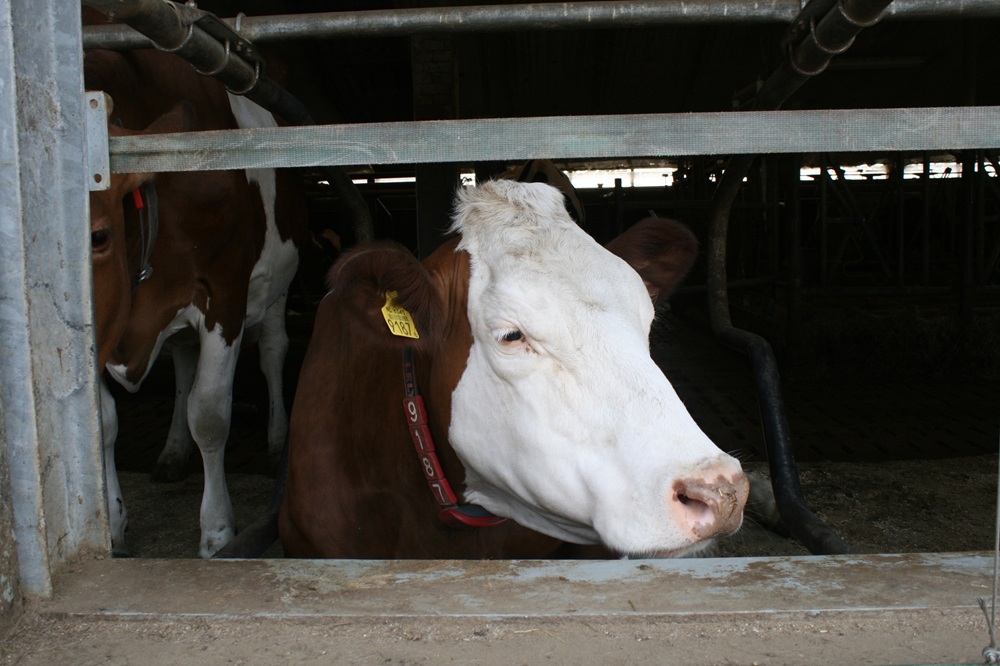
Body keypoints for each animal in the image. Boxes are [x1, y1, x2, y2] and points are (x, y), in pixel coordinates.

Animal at [84, 20, 307, 558]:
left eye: (99, 235)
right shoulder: (111, 319)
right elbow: (104, 421)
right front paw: (114, 525)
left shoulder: (223, 293)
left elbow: (208, 414)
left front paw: (218, 532)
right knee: (183, 363)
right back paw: (171, 453)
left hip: (278, 282)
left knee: (273, 351)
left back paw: (276, 440)